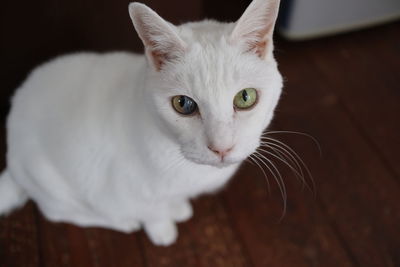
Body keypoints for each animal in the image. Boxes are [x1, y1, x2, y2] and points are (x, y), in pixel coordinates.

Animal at [0, 0, 282, 247]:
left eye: (245, 97)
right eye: (184, 104)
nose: (221, 147)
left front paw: (177, 207)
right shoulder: (122, 186)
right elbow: (151, 211)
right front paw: (162, 229)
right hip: (51, 182)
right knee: (60, 212)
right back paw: (123, 222)